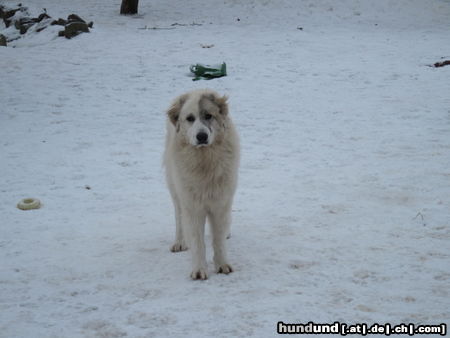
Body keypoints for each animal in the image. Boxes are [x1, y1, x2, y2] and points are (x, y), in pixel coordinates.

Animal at [164, 89, 241, 280]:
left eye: (208, 116)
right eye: (190, 118)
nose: (202, 136)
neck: (204, 160)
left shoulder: (220, 201)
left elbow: (218, 239)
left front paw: (222, 265)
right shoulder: (192, 205)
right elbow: (198, 241)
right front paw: (199, 270)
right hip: (175, 189)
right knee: (179, 217)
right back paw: (179, 242)